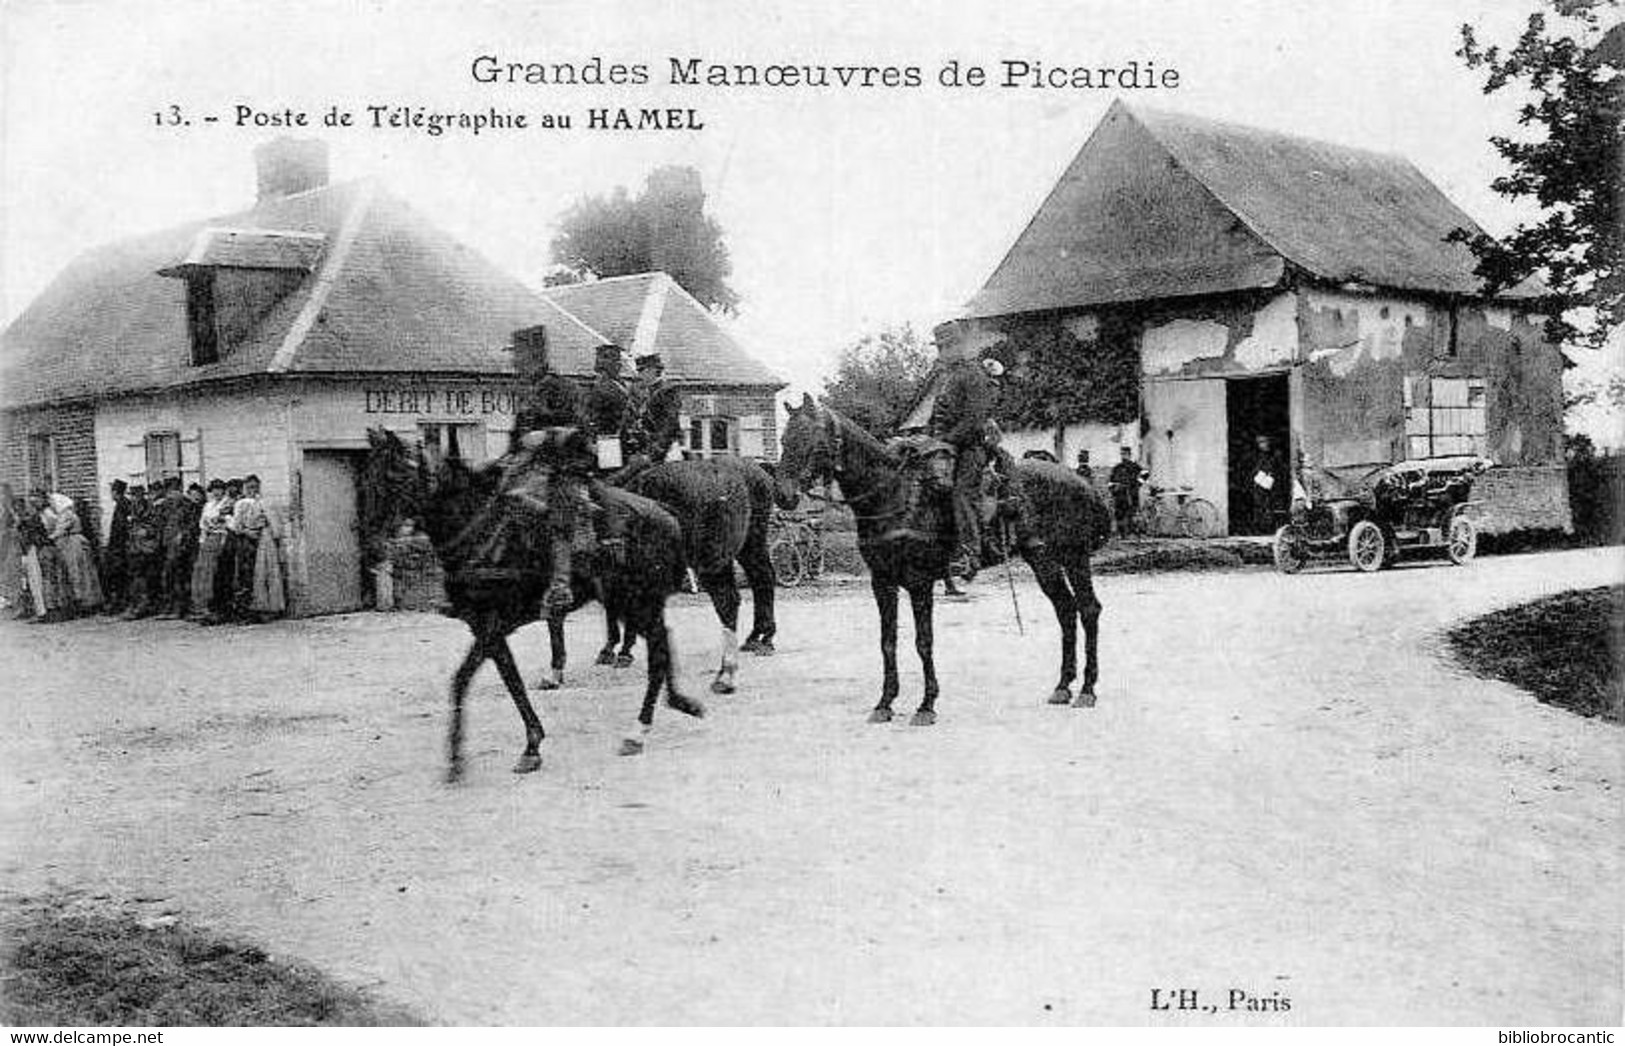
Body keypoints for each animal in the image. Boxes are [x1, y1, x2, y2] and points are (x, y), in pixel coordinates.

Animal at [365, 428, 702, 779]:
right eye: (367, 477)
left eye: (393, 477)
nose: (373, 548)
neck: (479, 530)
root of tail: (665, 512)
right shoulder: (485, 628)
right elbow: (504, 680)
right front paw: (514, 747)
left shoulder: (492, 625)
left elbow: (473, 680)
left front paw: (508, 751)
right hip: (627, 602)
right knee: (662, 641)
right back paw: (677, 701)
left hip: (638, 600)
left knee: (658, 651)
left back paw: (638, 730)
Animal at [770, 396, 1105, 724]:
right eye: (785, 439)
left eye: (813, 440)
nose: (783, 495)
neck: (891, 496)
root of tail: (1080, 482)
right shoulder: (882, 582)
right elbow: (887, 642)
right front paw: (885, 703)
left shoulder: (919, 582)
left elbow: (923, 641)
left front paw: (926, 705)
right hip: (1043, 560)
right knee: (1066, 610)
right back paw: (1063, 686)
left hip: (1074, 557)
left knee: (1088, 609)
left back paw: (1087, 690)